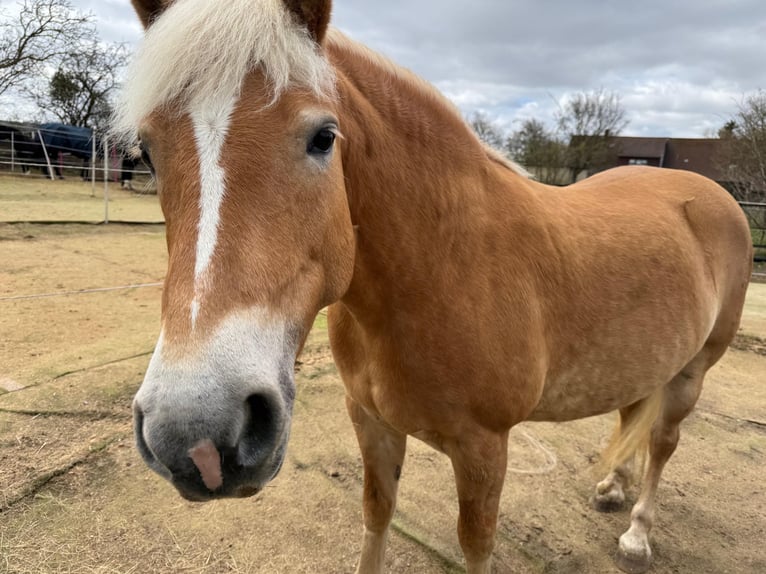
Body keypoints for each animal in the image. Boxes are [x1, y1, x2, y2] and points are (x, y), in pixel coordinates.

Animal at [118, 2, 753, 573]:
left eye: (324, 137)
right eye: (146, 149)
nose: (196, 438)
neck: (439, 268)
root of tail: (713, 194)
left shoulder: (484, 451)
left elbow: (475, 547)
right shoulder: (370, 422)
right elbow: (377, 515)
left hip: (693, 372)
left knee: (664, 442)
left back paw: (638, 534)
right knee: (632, 414)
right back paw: (613, 487)